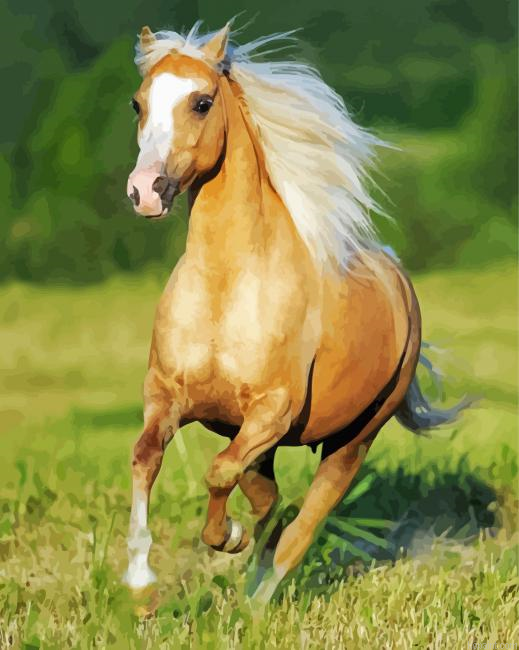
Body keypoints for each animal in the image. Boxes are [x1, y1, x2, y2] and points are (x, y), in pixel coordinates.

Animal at [122, 21, 466, 604]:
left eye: (202, 102)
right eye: (138, 103)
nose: (145, 191)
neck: (225, 289)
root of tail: (396, 276)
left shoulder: (271, 412)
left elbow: (218, 474)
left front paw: (227, 537)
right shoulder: (168, 398)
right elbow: (147, 458)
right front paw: (141, 580)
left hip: (354, 439)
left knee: (303, 523)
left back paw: (257, 602)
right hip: (262, 440)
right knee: (271, 499)